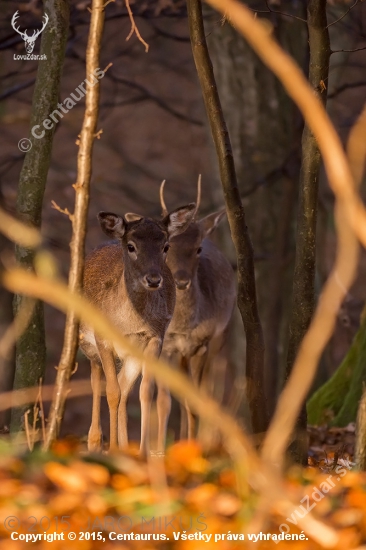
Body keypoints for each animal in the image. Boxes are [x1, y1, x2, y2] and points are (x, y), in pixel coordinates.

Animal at [79, 205, 196, 454]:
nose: (153, 279)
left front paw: (143, 453)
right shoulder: (102, 338)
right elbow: (111, 392)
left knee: (124, 385)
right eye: (131, 246)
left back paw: (126, 447)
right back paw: (95, 441)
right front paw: (111, 449)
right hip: (85, 340)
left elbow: (145, 391)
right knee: (96, 378)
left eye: (166, 246)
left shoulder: (155, 337)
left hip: (132, 353)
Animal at [159, 179, 236, 442]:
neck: (184, 326)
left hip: (221, 339)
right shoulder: (168, 347)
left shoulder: (202, 344)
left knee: (211, 393)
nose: (181, 281)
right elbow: (166, 403)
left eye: (198, 248)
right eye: (167, 247)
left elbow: (197, 401)